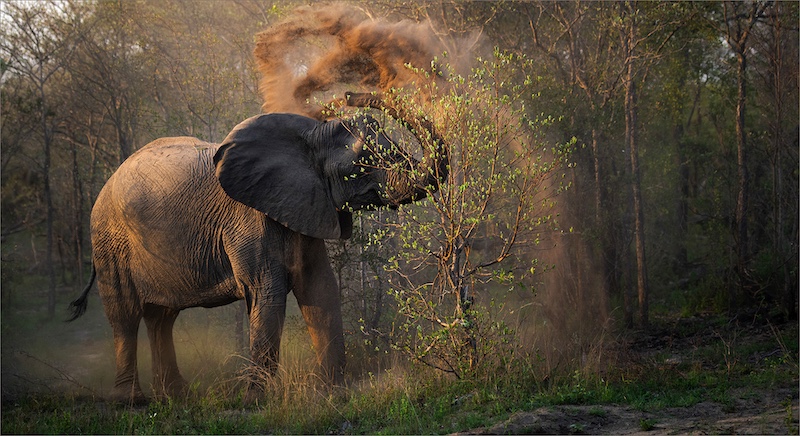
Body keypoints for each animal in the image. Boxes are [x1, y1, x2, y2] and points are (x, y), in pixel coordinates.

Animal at [68, 93, 447, 402]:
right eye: (361, 163)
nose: (349, 94)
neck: (310, 136)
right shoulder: (250, 218)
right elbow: (268, 292)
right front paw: (254, 402)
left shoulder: (304, 207)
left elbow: (320, 290)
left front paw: (331, 395)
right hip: (109, 241)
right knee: (125, 314)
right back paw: (132, 401)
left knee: (162, 317)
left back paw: (175, 395)